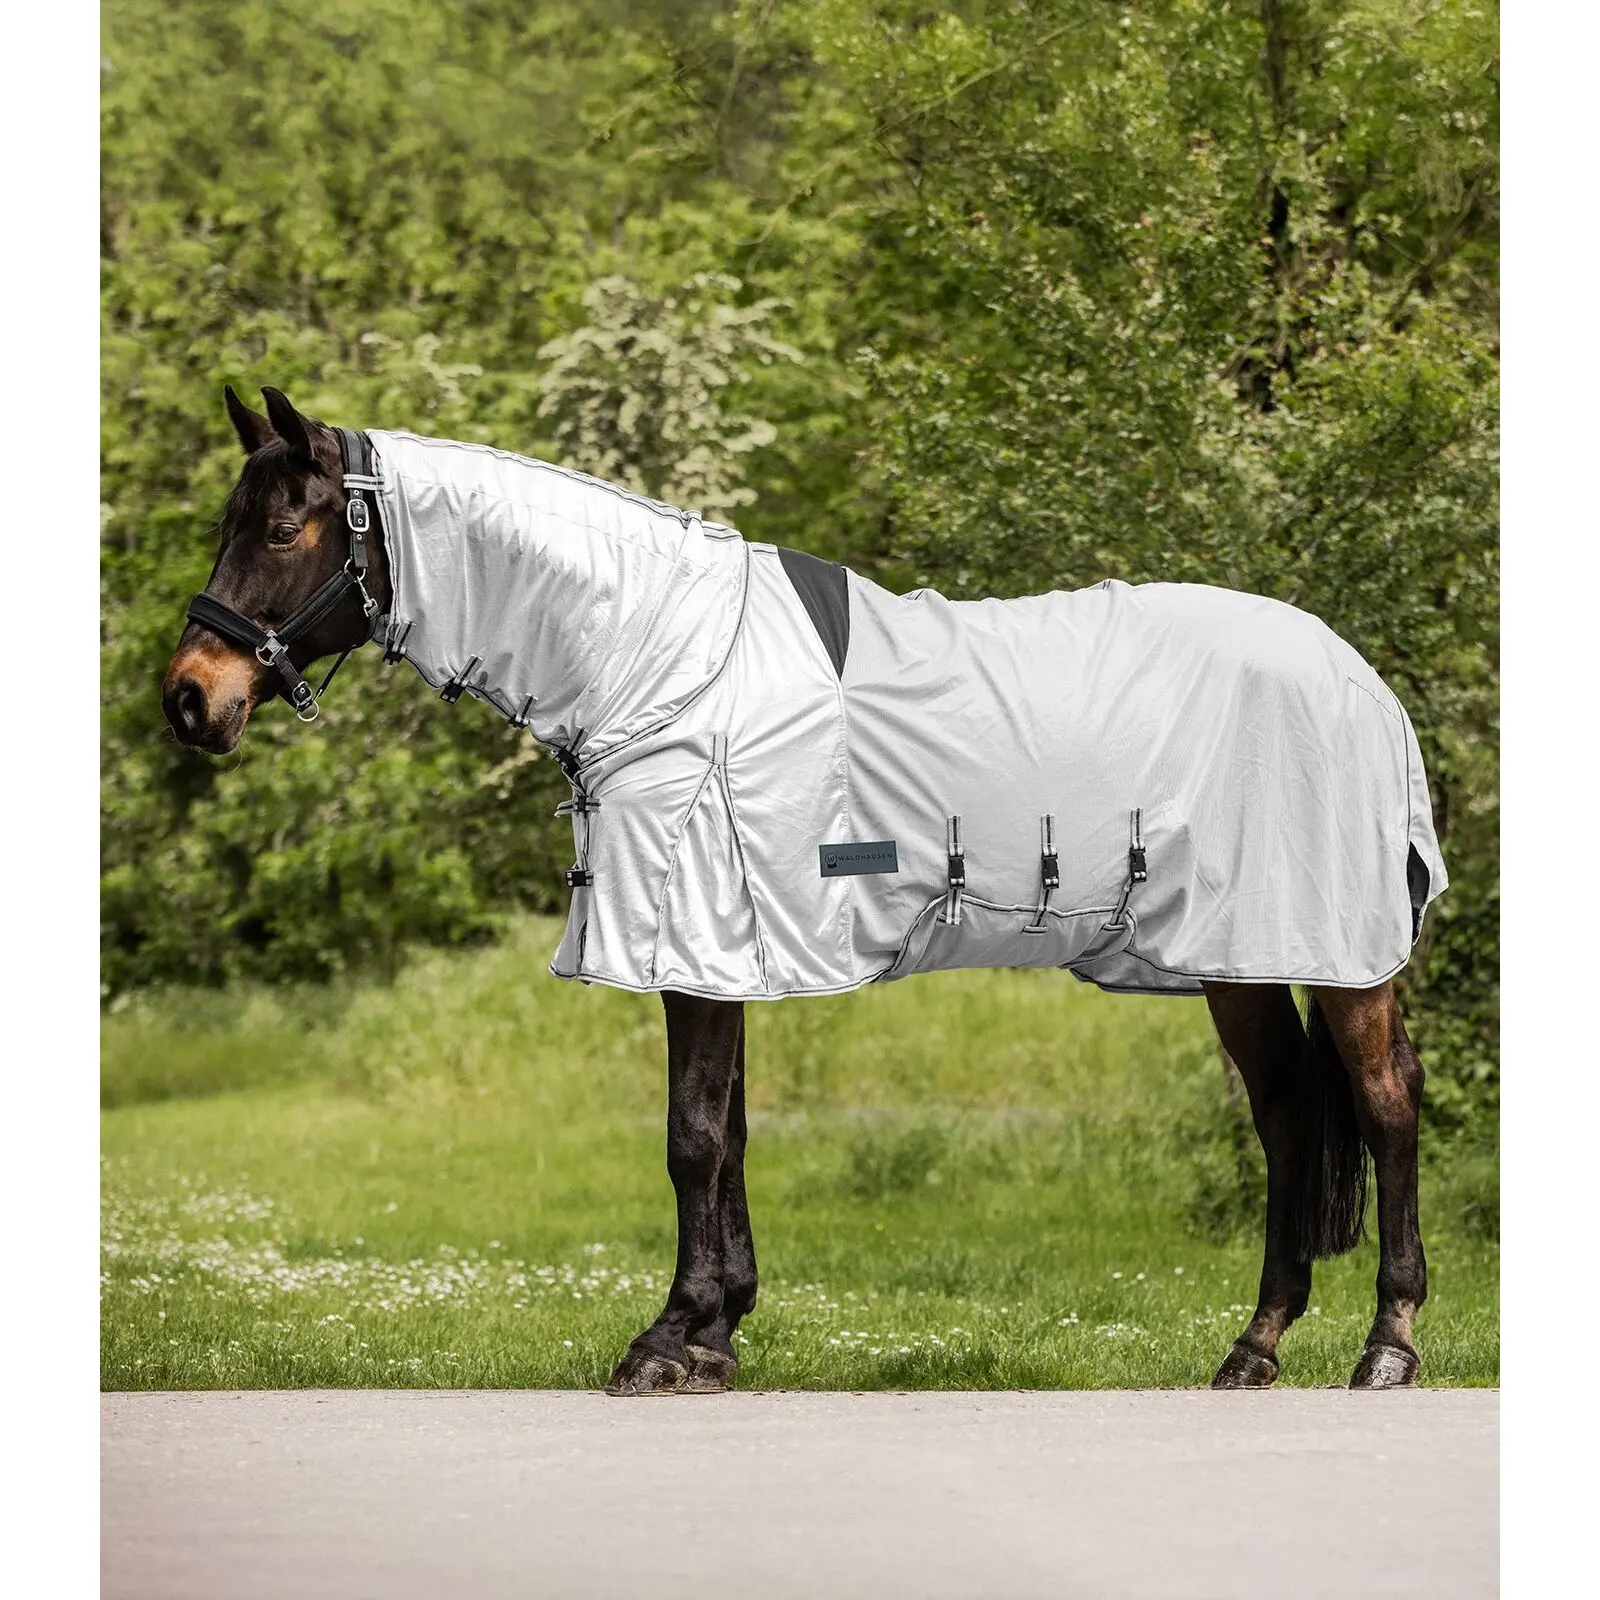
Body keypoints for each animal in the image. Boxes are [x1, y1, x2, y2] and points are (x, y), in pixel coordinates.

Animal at [163, 384, 1441, 1395]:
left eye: (281, 523)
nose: (189, 697)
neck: (662, 659)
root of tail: (1360, 678)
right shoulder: (725, 946)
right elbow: (727, 1134)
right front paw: (716, 1330)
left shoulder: (692, 934)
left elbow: (690, 1137)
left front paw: (667, 1340)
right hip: (1239, 958)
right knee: (1288, 1117)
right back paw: (1255, 1345)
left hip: (1339, 955)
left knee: (1383, 1103)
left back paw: (1386, 1344)